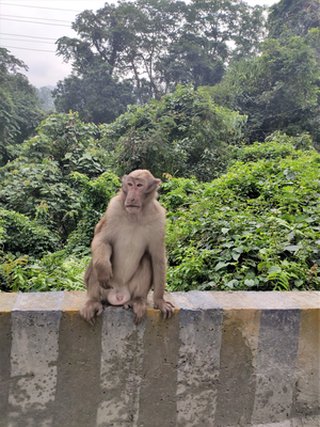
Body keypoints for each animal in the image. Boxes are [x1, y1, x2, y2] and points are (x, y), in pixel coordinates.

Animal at [80, 170, 175, 324]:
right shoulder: (114, 208)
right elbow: (101, 240)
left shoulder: (159, 218)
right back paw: (93, 301)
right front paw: (103, 268)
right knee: (97, 262)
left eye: (139, 185)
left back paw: (137, 300)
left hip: (130, 289)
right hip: (106, 290)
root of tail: (119, 295)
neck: (136, 215)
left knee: (147, 259)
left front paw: (160, 301)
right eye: (130, 184)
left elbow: (157, 258)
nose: (131, 196)